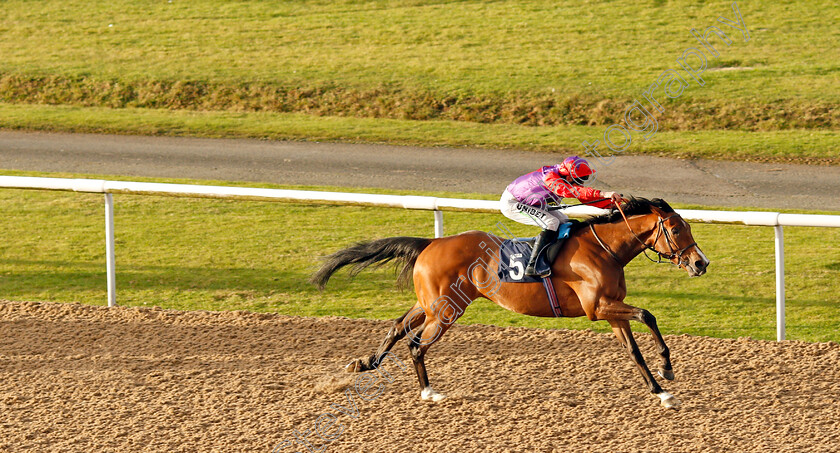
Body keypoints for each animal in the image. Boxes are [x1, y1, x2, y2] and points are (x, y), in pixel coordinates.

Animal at [314, 197, 708, 406]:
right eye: (676, 229)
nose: (700, 263)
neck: (603, 249)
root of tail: (431, 242)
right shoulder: (597, 308)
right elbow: (648, 314)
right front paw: (667, 369)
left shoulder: (612, 311)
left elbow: (634, 348)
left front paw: (661, 390)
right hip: (446, 310)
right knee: (416, 344)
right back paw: (428, 391)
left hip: (430, 304)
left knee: (398, 327)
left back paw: (366, 363)